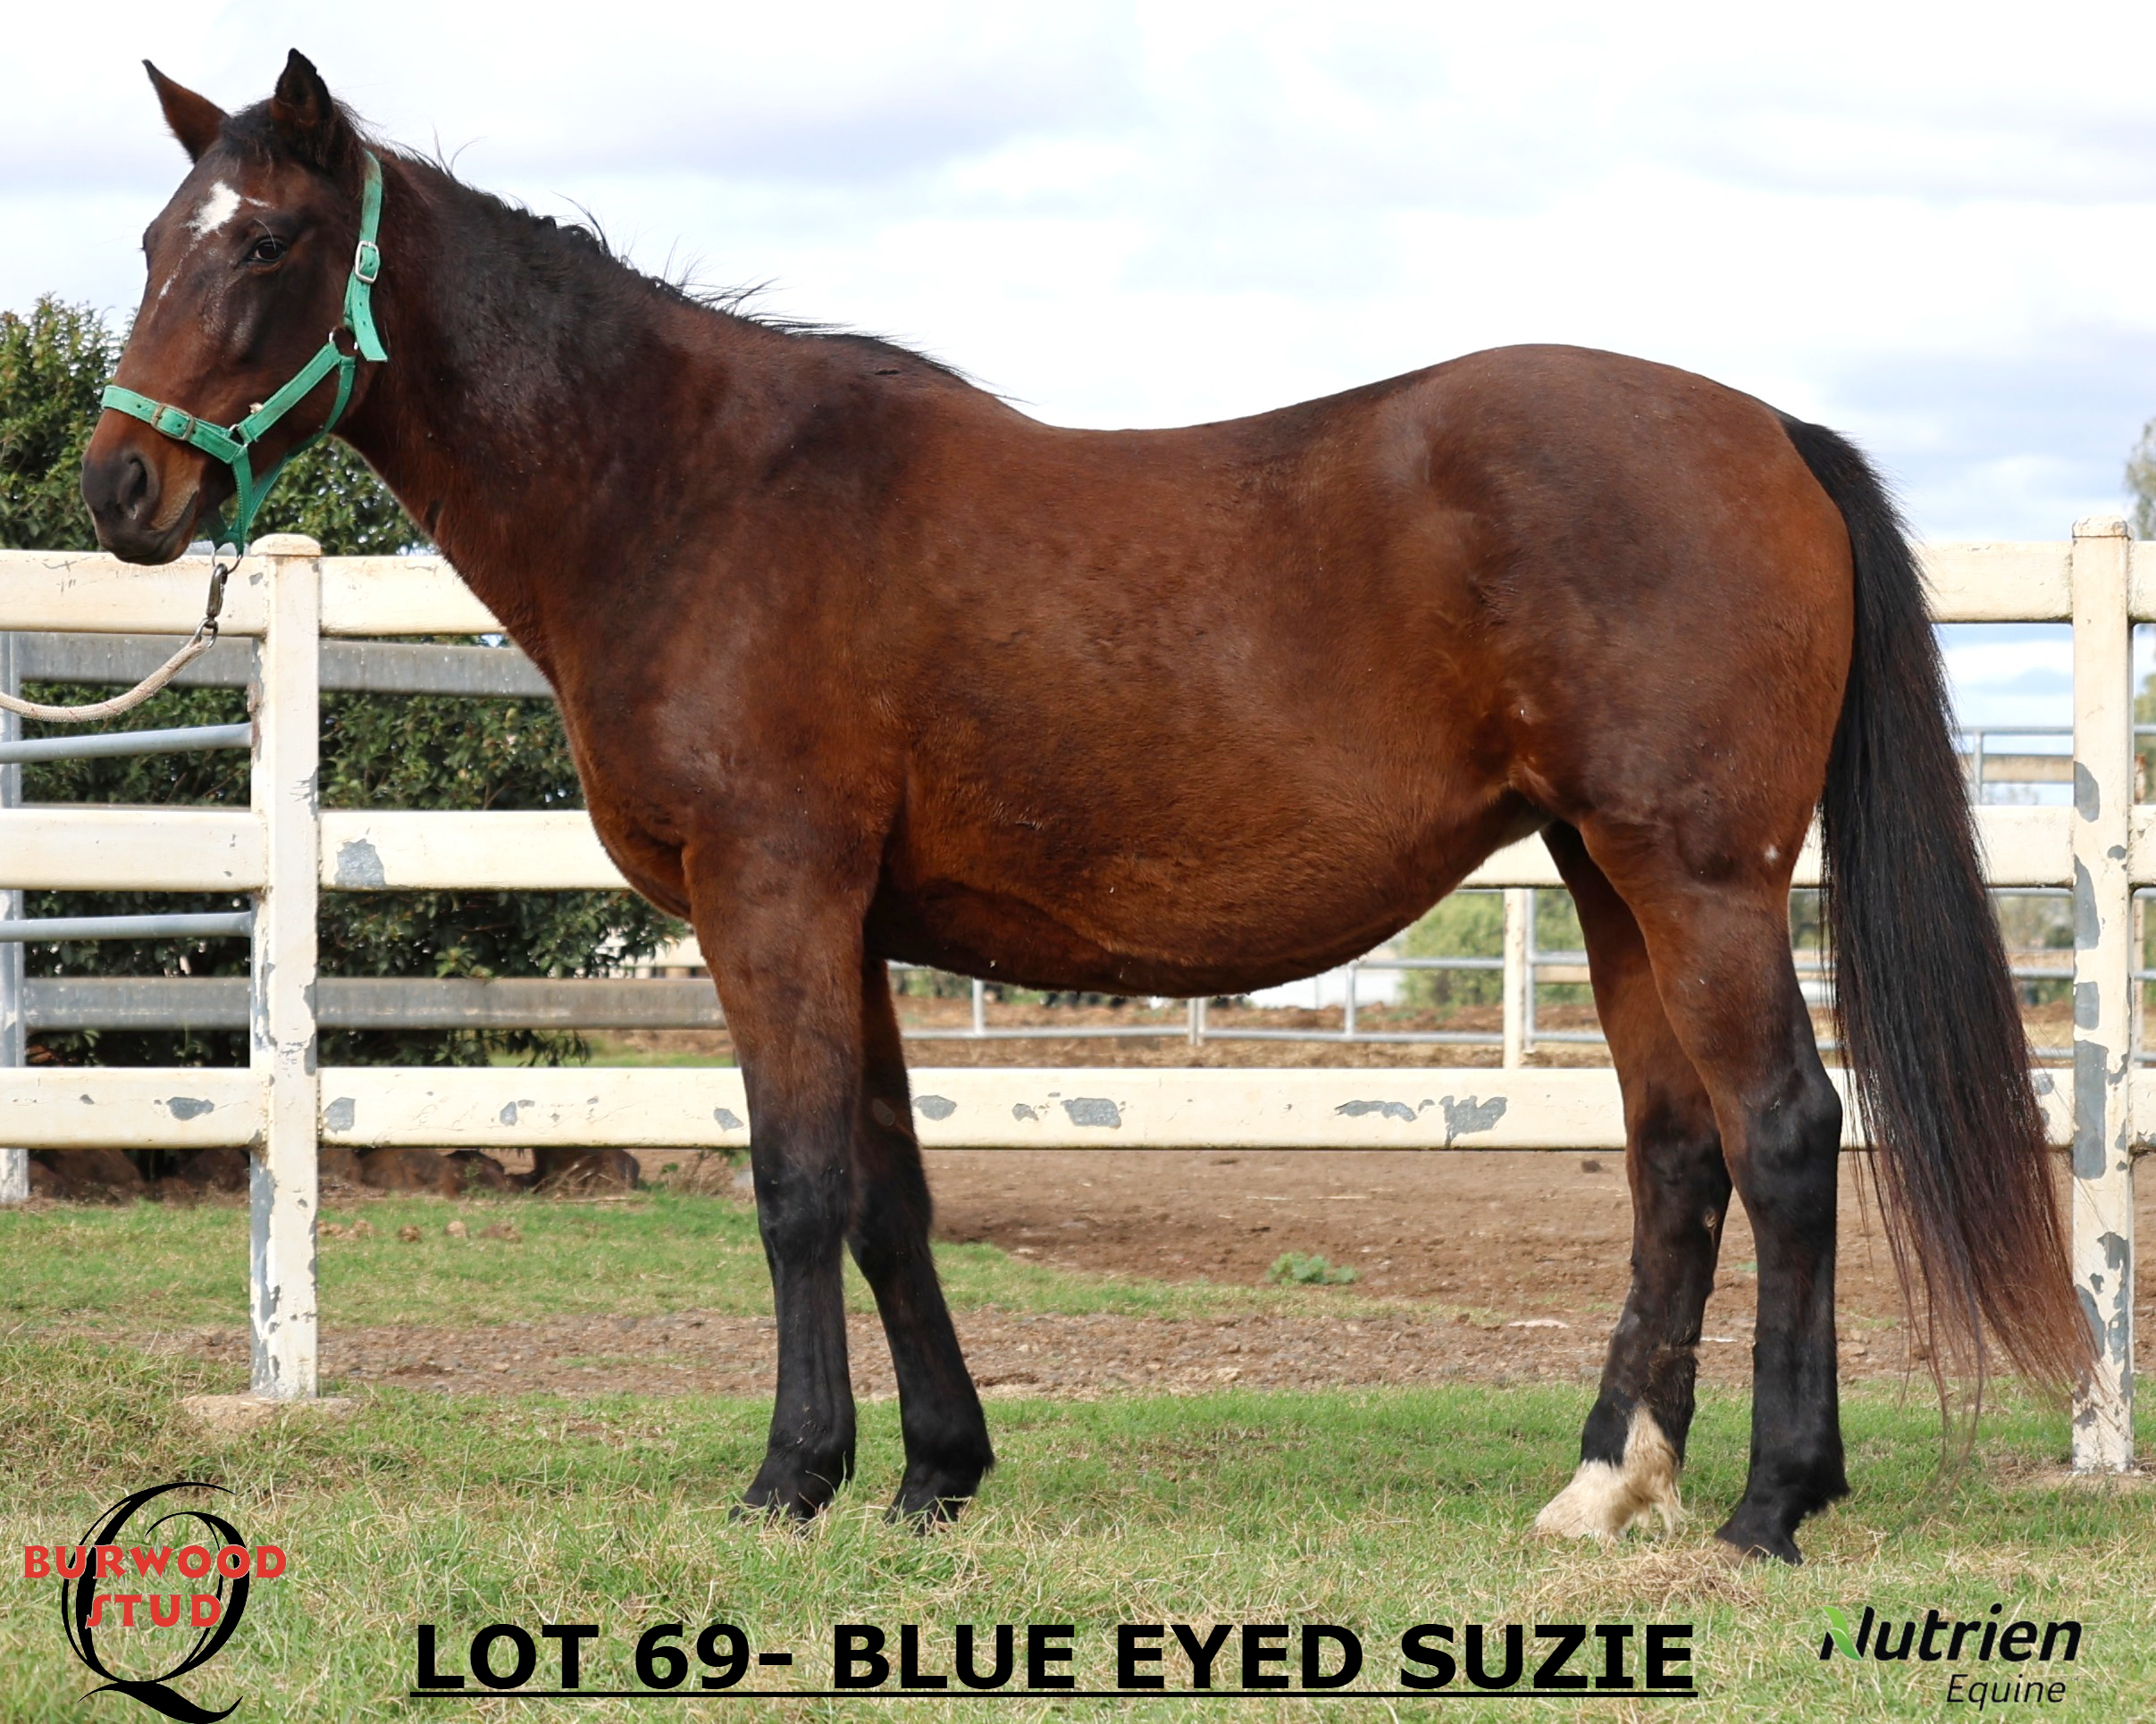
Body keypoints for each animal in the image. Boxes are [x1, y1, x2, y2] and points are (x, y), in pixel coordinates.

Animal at [82, 52, 2086, 1563]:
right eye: (155, 236)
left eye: (267, 240)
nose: (115, 489)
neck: (691, 491)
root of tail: (1767, 436)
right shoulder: (850, 922)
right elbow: (889, 1189)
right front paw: (933, 1473)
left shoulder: (767, 894)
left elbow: (797, 1184)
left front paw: (790, 1476)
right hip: (1607, 879)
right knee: (1680, 1156)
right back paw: (1604, 1485)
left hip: (1700, 875)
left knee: (1788, 1134)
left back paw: (1768, 1504)